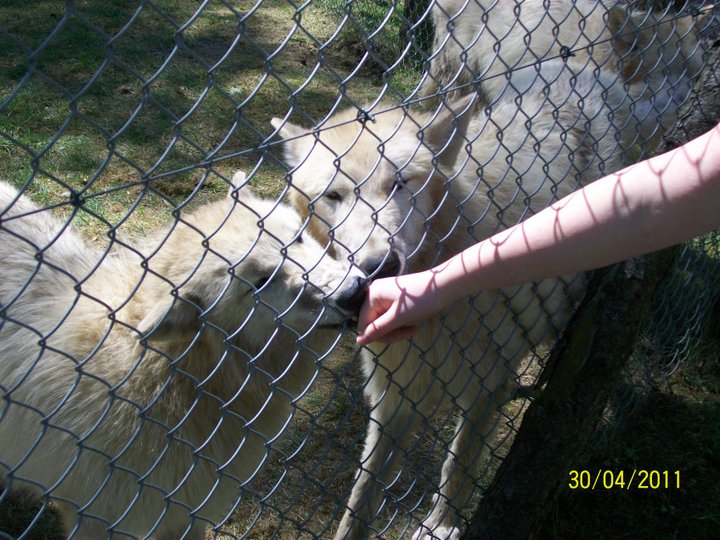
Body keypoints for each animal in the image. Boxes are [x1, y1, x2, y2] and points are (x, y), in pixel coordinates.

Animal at [272, 60, 632, 540]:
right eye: (333, 196)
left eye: (399, 184)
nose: (380, 266)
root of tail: (584, 69)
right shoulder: (394, 395)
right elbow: (362, 495)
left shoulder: (488, 383)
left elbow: (459, 464)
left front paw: (441, 526)